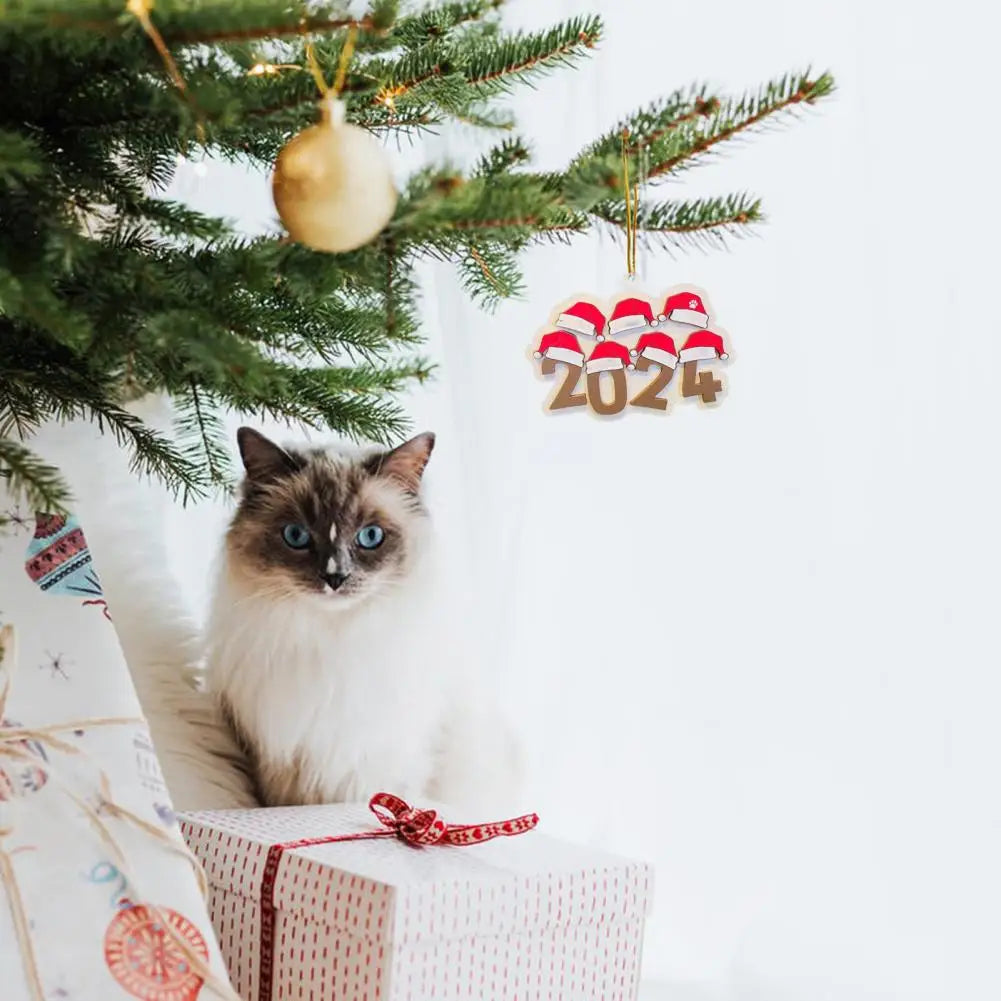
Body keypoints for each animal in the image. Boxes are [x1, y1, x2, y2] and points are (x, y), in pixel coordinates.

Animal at [200, 428, 520, 812]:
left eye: (370, 537)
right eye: (296, 536)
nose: (335, 577)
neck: (334, 642)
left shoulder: (378, 766)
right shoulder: (278, 766)